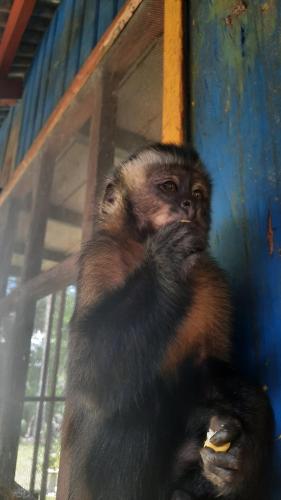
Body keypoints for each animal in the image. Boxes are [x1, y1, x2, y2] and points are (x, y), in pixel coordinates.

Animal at [65, 143, 272, 498]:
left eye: (198, 193)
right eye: (170, 187)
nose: (190, 205)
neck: (141, 246)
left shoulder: (210, 277)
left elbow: (211, 366)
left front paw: (240, 458)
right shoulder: (102, 256)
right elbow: (89, 376)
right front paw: (166, 264)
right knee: (132, 403)